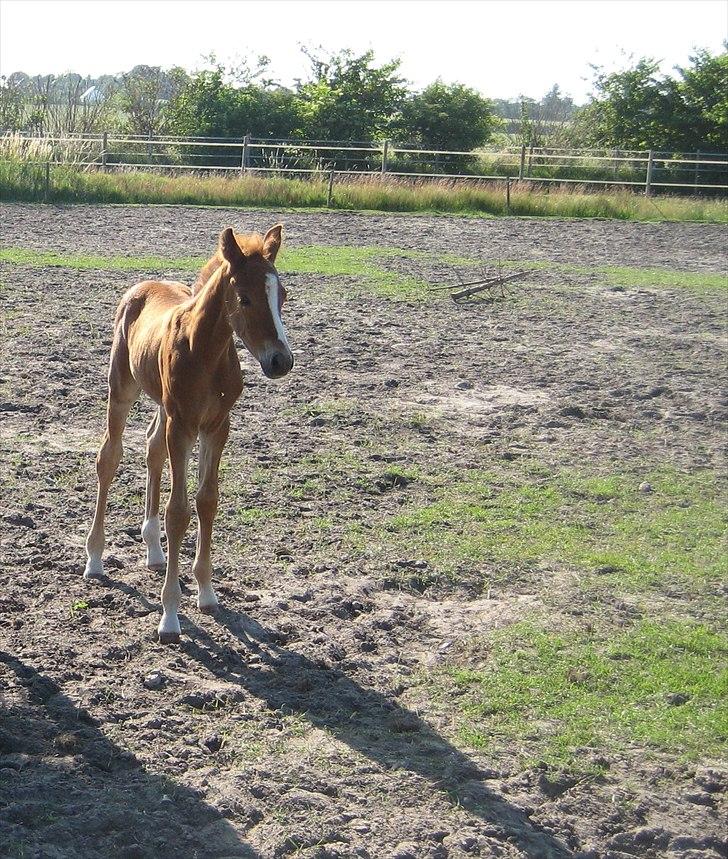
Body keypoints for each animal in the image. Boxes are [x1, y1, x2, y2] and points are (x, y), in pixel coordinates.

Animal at [83, 225, 292, 640]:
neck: (205, 353)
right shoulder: (182, 426)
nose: (281, 361)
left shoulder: (216, 425)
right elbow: (177, 511)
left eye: (283, 296)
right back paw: (95, 558)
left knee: (152, 447)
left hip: (164, 406)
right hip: (123, 387)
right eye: (244, 298)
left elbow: (206, 500)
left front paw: (207, 592)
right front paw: (170, 614)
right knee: (109, 457)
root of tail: (143, 285)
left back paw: (153, 551)